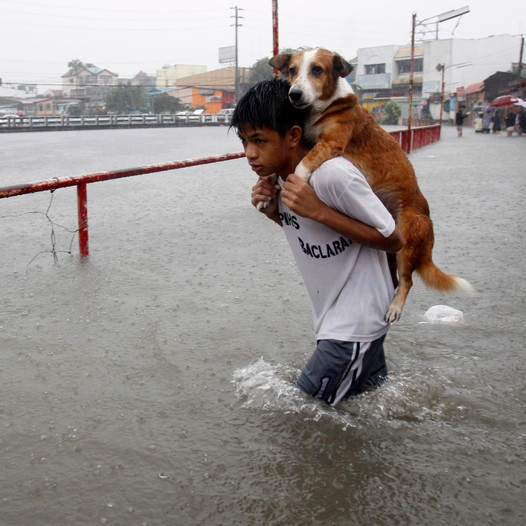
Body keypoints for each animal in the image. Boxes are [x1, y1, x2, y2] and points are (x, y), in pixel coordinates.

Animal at [270, 48, 476, 322]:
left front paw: (296, 181)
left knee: (407, 281)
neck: (324, 107)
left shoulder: (331, 143)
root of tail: (429, 223)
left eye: (317, 70)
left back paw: (395, 307)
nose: (294, 94)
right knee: (396, 278)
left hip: (405, 243)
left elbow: (304, 163)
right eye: (292, 70)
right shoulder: (306, 136)